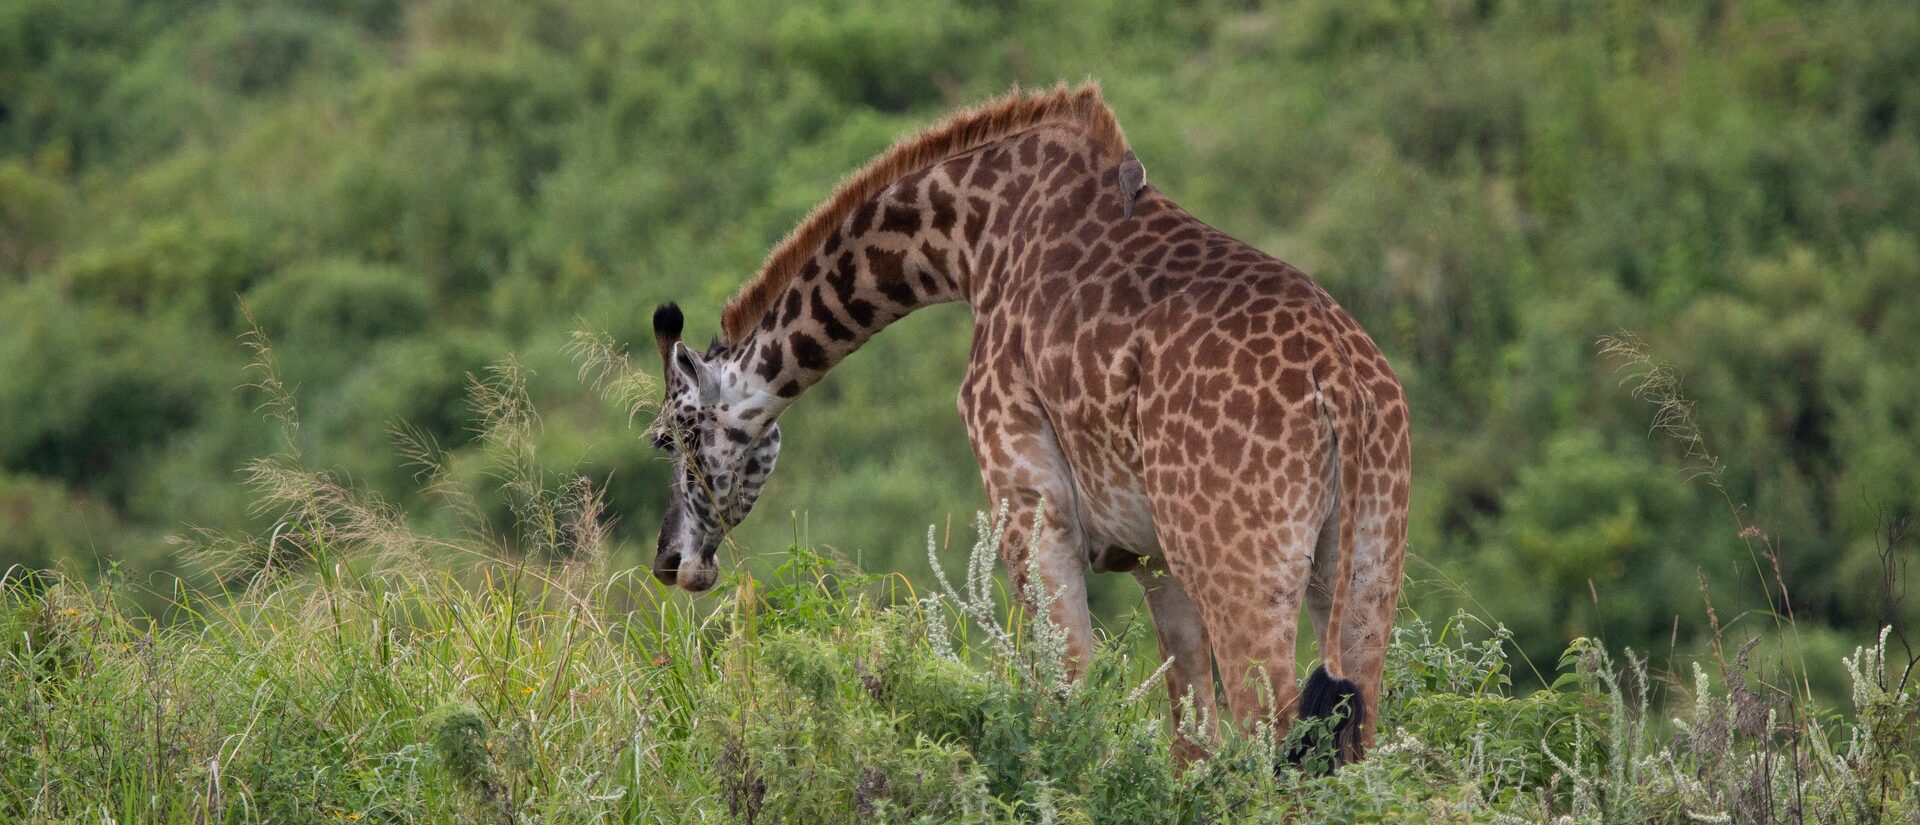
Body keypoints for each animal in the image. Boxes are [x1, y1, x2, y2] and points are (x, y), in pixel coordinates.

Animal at [645, 80, 1413, 763]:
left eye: (669, 437)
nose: (671, 562)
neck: (971, 241)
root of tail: (1338, 383)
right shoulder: (1154, 557)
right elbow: (1190, 739)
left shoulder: (1030, 509)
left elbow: (1070, 701)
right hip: (1366, 563)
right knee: (1352, 731)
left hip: (1241, 565)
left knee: (1279, 732)